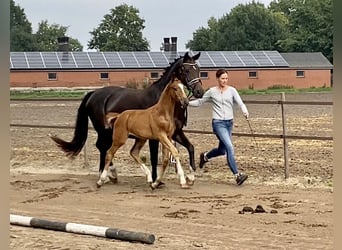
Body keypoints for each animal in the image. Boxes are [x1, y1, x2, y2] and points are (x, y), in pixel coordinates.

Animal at [50, 52, 203, 180]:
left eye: (198, 69)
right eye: (186, 70)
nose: (199, 92)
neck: (162, 101)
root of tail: (93, 94)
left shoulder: (176, 132)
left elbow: (190, 147)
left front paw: (191, 174)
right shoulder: (155, 136)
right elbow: (154, 157)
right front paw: (155, 179)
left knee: (103, 147)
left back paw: (108, 174)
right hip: (103, 130)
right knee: (103, 147)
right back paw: (109, 173)